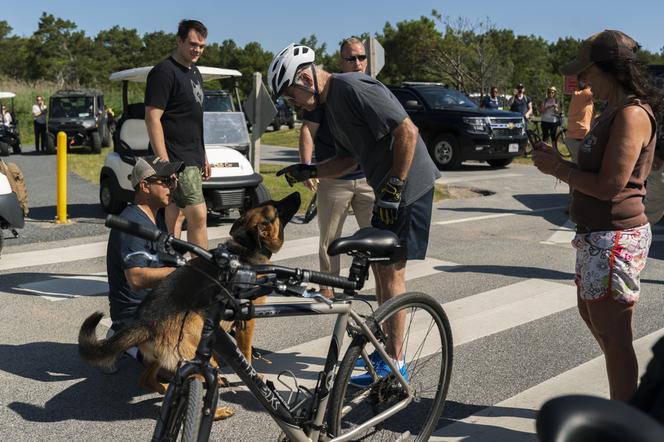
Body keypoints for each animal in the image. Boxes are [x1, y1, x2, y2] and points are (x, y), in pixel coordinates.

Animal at [79, 193, 302, 418]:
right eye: (277, 208)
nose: (298, 194)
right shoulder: (246, 322)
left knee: (146, 380)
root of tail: (145, 324)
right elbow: (246, 354)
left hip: (161, 359)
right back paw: (217, 410)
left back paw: (165, 389)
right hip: (199, 360)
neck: (246, 247)